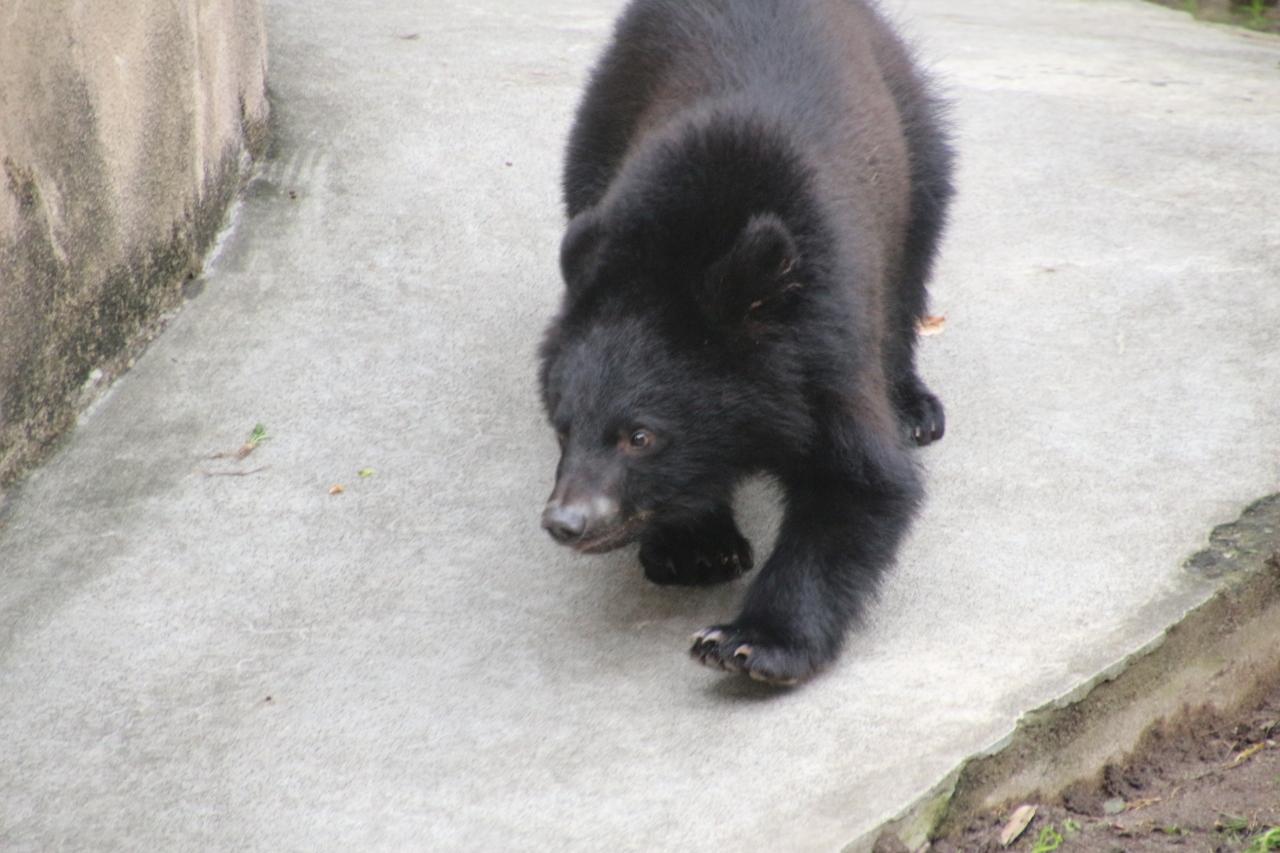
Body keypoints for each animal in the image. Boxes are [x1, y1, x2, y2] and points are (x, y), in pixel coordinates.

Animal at [538, 0, 954, 685]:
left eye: (641, 436)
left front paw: (748, 644)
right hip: (597, 127)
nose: (566, 522)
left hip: (916, 136)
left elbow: (861, 482)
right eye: (564, 427)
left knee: (912, 265)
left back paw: (916, 408)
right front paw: (697, 549)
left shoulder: (821, 342)